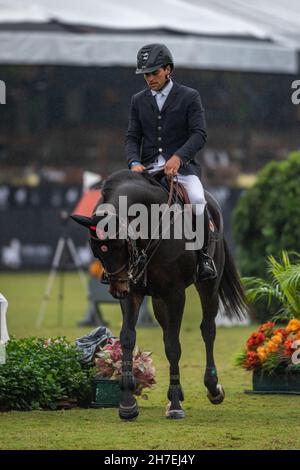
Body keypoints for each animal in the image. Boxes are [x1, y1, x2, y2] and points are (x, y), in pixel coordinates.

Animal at [71, 171, 247, 420]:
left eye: (119, 244)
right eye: (96, 250)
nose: (116, 290)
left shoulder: (175, 292)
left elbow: (174, 345)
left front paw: (174, 405)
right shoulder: (134, 291)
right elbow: (128, 337)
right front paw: (127, 404)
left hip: (208, 286)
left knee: (207, 329)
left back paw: (213, 388)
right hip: (158, 299)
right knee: (166, 332)